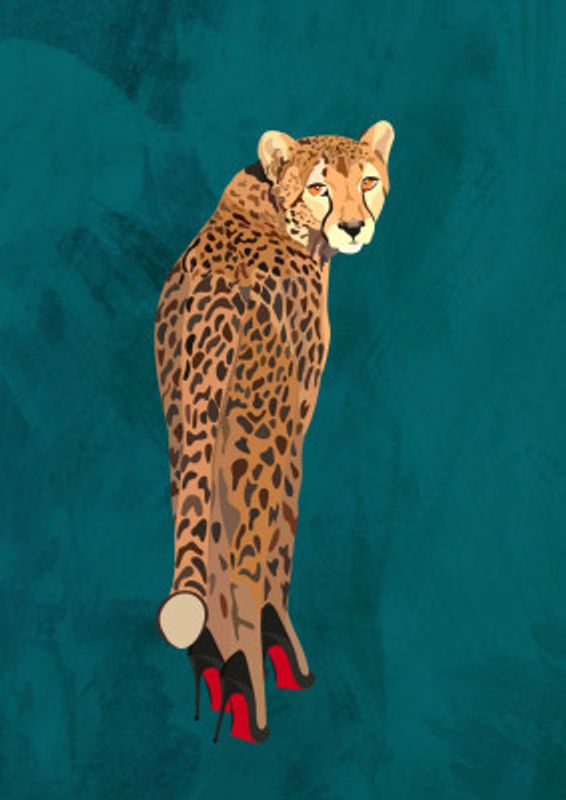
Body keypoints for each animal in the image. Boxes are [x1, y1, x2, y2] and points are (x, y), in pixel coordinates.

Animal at [154, 120, 395, 739]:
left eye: (367, 181)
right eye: (319, 188)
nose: (354, 226)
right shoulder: (292, 415)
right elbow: (282, 531)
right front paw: (275, 638)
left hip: (186, 422)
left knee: (207, 535)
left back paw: (216, 660)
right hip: (256, 432)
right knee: (244, 552)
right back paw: (252, 677)